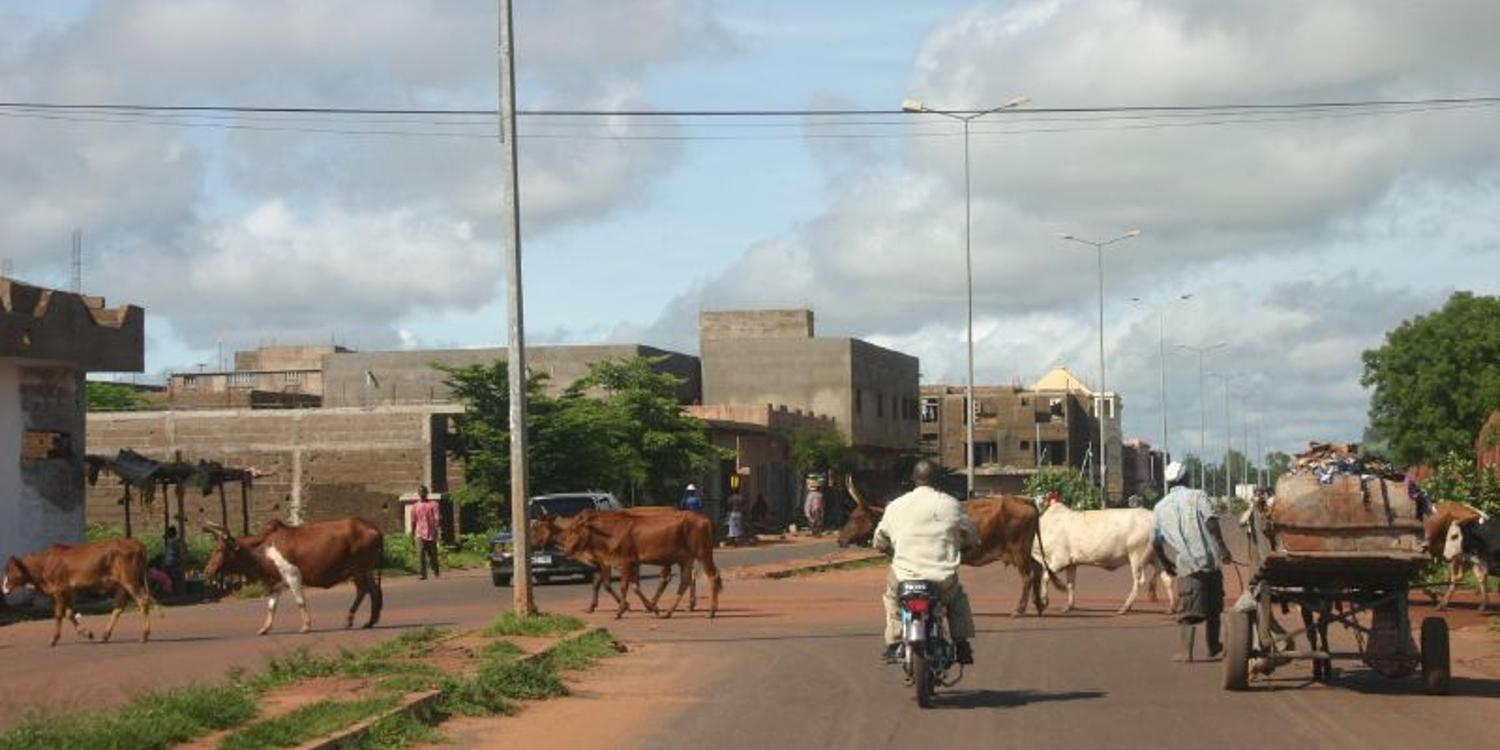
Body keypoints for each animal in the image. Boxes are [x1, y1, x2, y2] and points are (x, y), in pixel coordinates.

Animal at [3, 537, 155, 648]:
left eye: (10, 571)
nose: (3, 588)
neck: (44, 564)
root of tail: (137, 544)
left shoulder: (59, 590)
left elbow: (59, 615)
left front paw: (54, 639)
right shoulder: (70, 591)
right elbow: (70, 613)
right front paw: (87, 633)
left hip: (129, 580)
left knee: (142, 601)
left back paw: (144, 635)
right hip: (121, 584)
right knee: (118, 607)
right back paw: (105, 635)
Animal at [202, 519, 384, 636]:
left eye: (219, 550)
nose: (207, 571)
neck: (263, 549)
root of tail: (373, 527)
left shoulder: (292, 575)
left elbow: (300, 602)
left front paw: (306, 626)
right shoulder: (276, 582)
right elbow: (271, 606)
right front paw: (265, 628)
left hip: (359, 569)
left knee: (365, 590)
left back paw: (356, 620)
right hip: (364, 570)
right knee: (371, 590)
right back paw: (368, 621)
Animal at [540, 510, 720, 621]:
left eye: (576, 530)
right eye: (569, 529)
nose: (567, 549)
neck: (611, 533)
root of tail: (705, 519)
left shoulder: (625, 561)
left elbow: (624, 587)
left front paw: (620, 611)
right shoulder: (631, 563)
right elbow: (634, 586)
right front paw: (653, 608)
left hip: (703, 552)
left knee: (712, 576)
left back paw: (711, 612)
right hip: (686, 559)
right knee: (685, 582)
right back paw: (669, 612)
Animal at [1032, 498, 1170, 615]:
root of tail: (1152, 516)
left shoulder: (1059, 560)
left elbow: (1045, 577)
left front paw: (1044, 601)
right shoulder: (1071, 564)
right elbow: (1071, 584)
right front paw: (1068, 606)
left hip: (1136, 555)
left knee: (1139, 581)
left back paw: (1125, 608)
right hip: (1155, 557)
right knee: (1166, 577)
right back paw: (1171, 607)